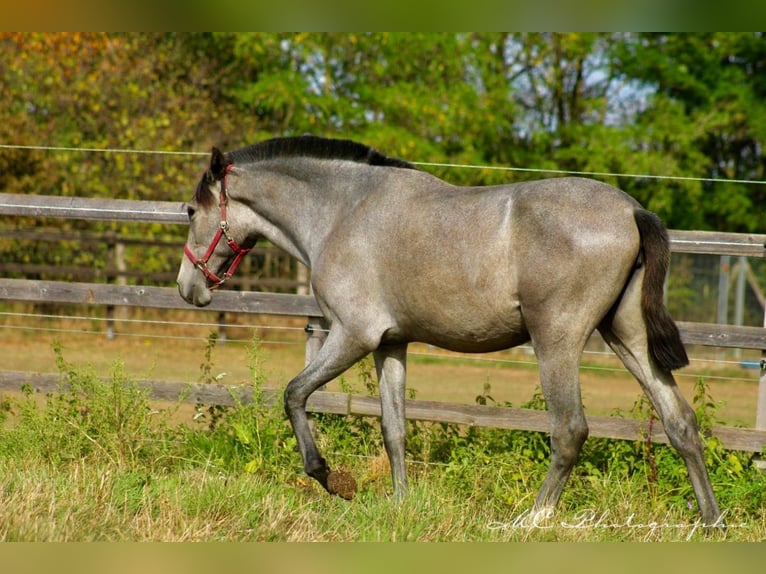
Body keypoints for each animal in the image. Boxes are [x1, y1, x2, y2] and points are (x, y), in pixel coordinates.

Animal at [177, 135, 724, 528]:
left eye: (191, 210)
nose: (188, 287)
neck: (342, 211)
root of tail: (632, 210)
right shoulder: (390, 345)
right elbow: (394, 428)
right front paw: (399, 505)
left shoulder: (352, 336)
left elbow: (294, 394)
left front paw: (331, 479)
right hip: (627, 337)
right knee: (680, 423)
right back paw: (711, 521)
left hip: (557, 341)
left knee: (570, 430)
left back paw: (531, 520)